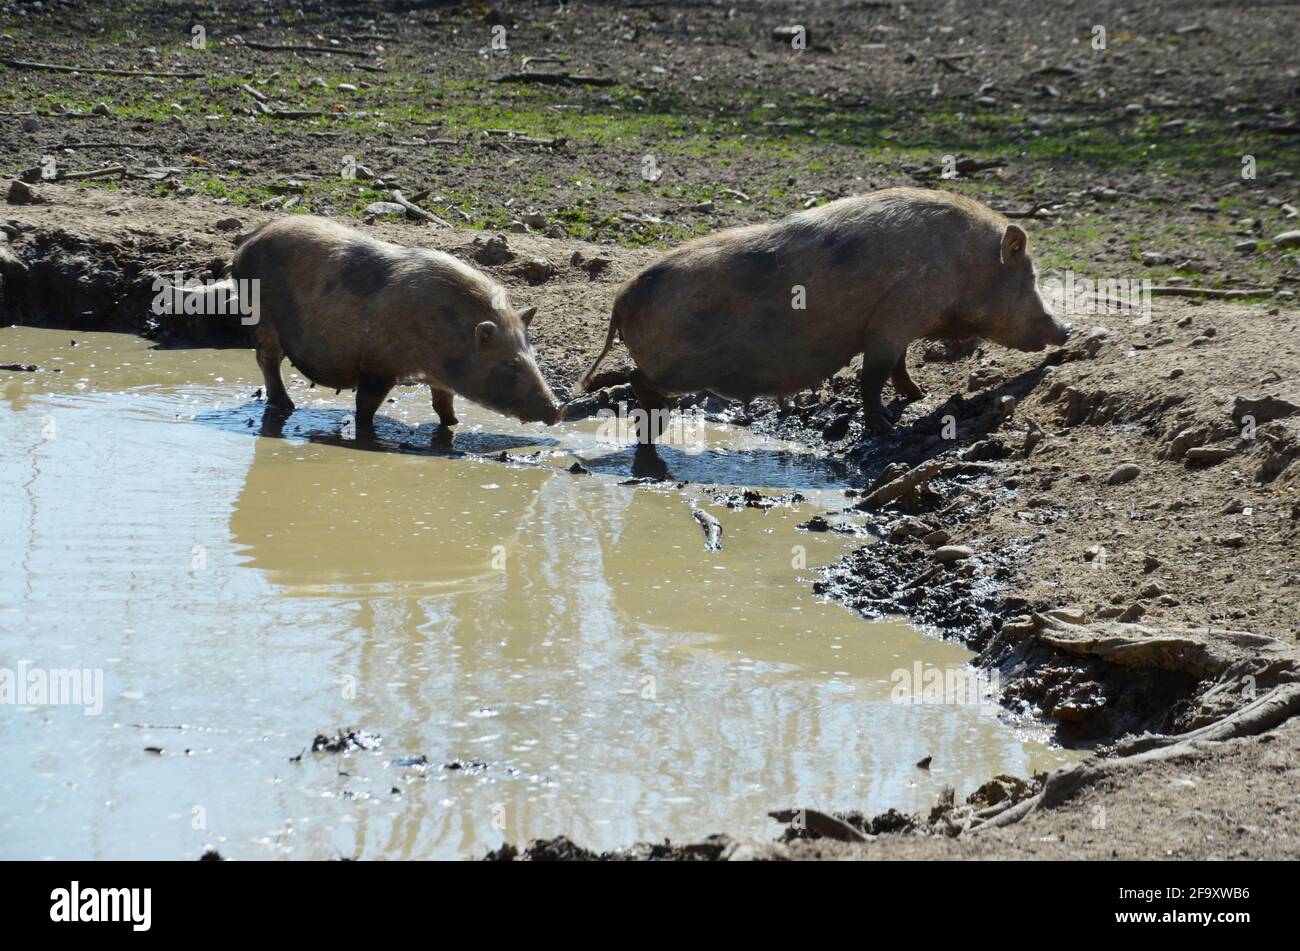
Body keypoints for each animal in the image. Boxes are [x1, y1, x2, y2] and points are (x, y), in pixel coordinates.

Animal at [233, 215, 559, 431]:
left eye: (534, 356)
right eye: (511, 364)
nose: (559, 409)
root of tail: (247, 242)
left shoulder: (440, 379)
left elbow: (443, 403)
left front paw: (454, 424)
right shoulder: (377, 366)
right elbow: (366, 405)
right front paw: (365, 431)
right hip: (261, 316)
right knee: (268, 361)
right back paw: (286, 406)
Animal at [585, 187, 1071, 439]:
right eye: (1028, 277)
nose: (1066, 329)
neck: (964, 264)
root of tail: (621, 296)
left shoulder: (898, 326)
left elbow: (899, 366)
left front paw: (918, 395)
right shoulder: (894, 318)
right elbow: (872, 377)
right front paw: (887, 430)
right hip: (676, 368)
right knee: (636, 378)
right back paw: (658, 419)